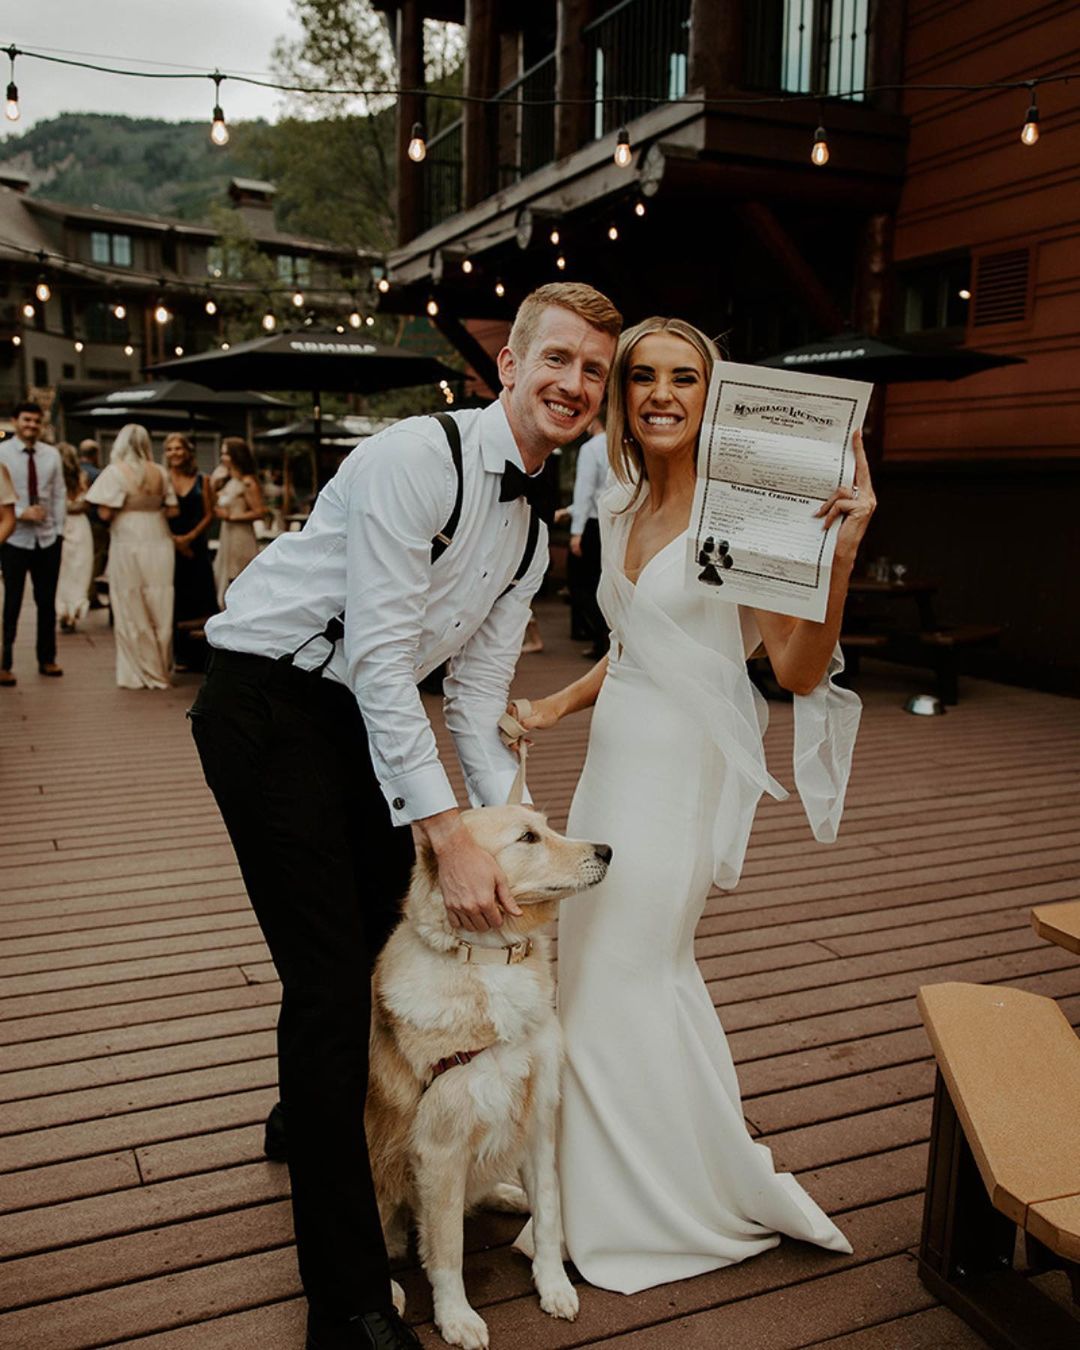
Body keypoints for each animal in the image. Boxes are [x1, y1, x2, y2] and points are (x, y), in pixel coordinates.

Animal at [364, 804, 612, 1344]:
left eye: (546, 826)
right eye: (528, 838)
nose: (607, 850)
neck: (492, 961)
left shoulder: (538, 1119)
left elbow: (548, 1214)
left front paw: (553, 1285)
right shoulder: (440, 1150)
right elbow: (447, 1249)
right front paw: (456, 1317)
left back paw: (507, 1195)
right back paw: (389, 1290)